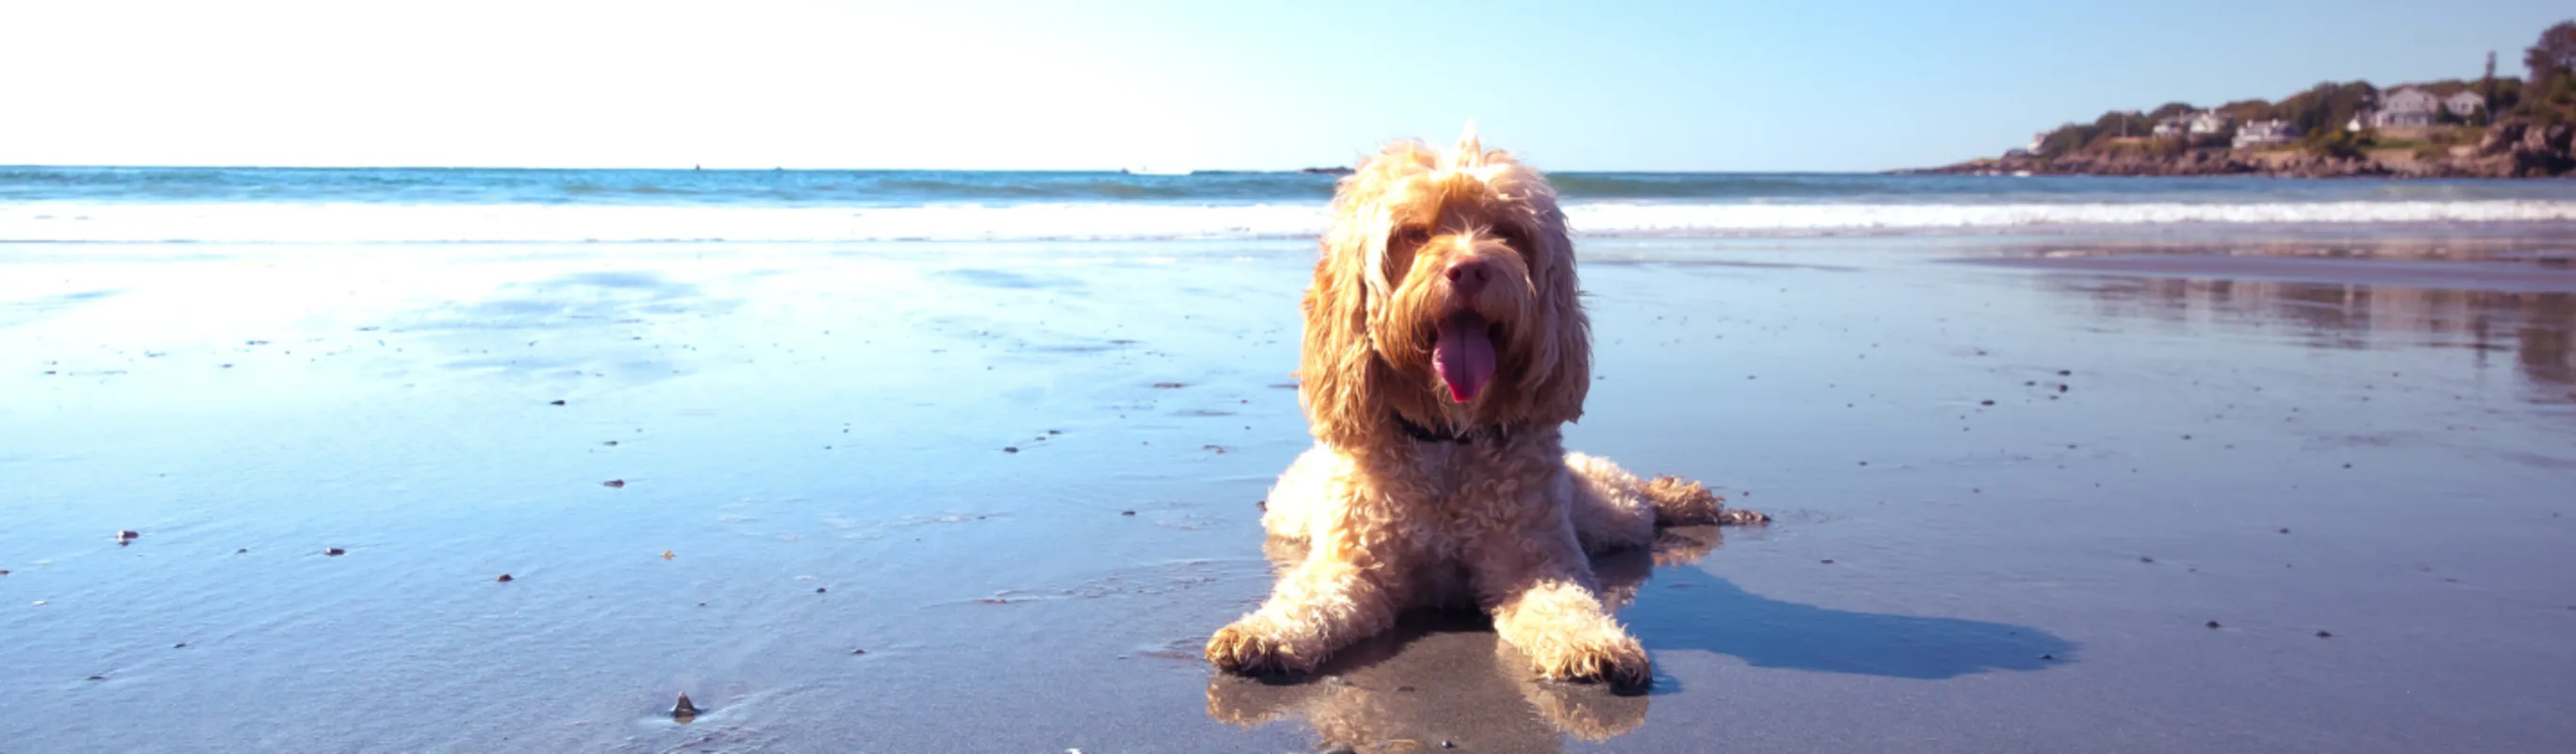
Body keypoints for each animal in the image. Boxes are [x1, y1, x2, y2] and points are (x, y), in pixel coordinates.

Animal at [1211, 130, 1772, 684]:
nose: (1469, 269)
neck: (1447, 437)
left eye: (1506, 231)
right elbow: (1308, 600)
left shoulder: (1533, 561)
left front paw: (1594, 641)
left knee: (1637, 498)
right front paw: (1263, 632)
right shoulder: (1353, 567)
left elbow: (1566, 604)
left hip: (1606, 512)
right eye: (1414, 233)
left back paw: (1689, 499)